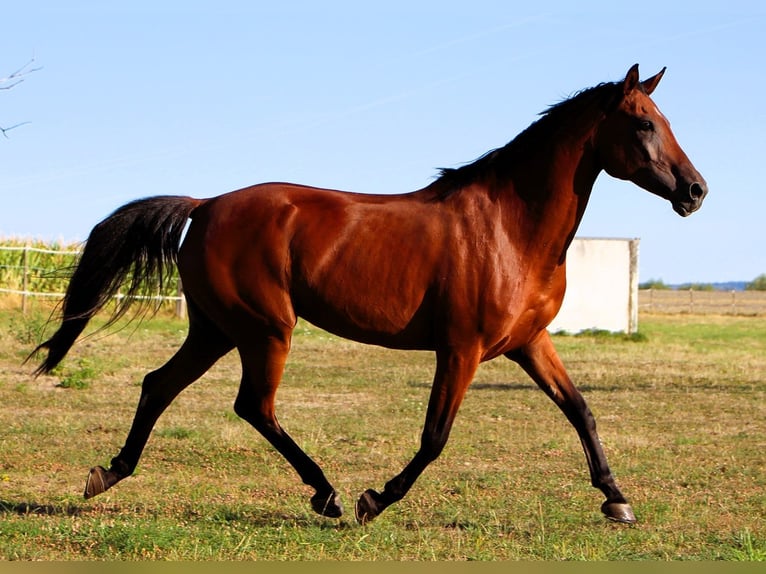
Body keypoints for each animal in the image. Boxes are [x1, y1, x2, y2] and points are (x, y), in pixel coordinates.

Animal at [32, 64, 707, 525]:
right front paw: (374, 499)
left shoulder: (529, 343)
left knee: (159, 385)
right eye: (644, 123)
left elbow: (581, 410)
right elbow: (434, 437)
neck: (511, 227)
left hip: (217, 329)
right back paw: (327, 493)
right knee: (254, 406)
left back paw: (107, 473)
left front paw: (617, 500)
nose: (696, 190)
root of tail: (206, 205)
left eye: (668, 122)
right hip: (265, 330)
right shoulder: (460, 350)